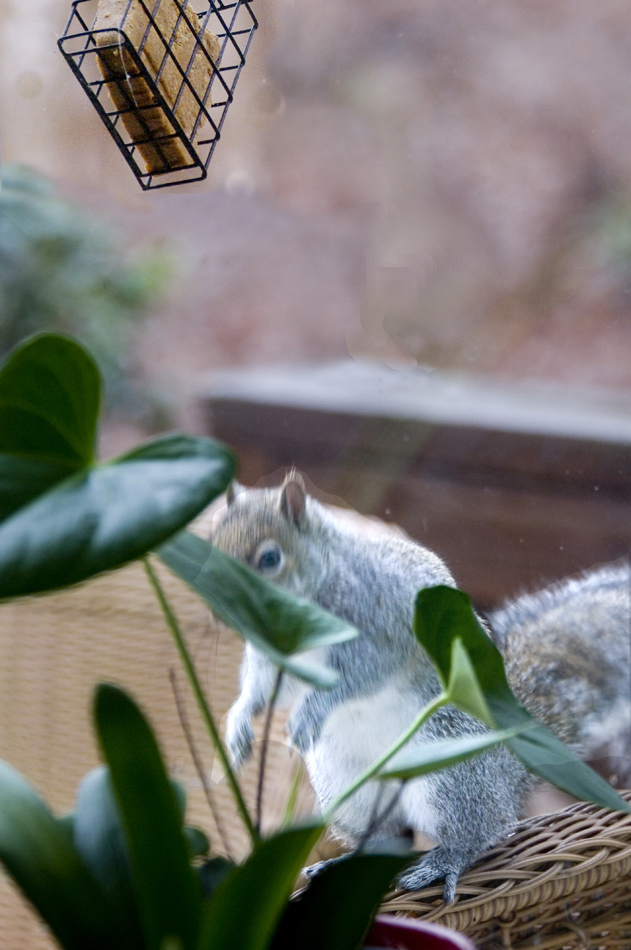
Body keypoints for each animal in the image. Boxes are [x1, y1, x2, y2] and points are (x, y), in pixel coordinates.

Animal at [212, 472, 631, 904]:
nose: (223, 607)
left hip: (450, 772)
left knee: (480, 832)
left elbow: (358, 676)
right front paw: (239, 722)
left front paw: (311, 712)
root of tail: (507, 775)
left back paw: (445, 861)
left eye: (270, 558)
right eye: (213, 541)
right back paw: (341, 864)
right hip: (346, 785)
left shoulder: (380, 629)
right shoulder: (274, 653)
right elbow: (262, 686)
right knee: (388, 839)